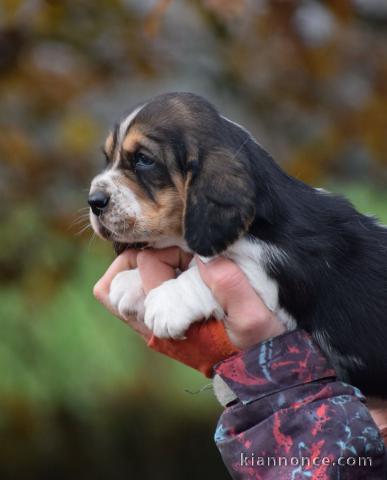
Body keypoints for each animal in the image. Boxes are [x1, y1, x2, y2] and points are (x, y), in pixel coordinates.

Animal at [88, 91, 387, 398]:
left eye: (143, 159)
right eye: (108, 157)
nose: (94, 201)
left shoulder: (277, 276)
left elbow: (206, 272)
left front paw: (168, 300)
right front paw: (132, 282)